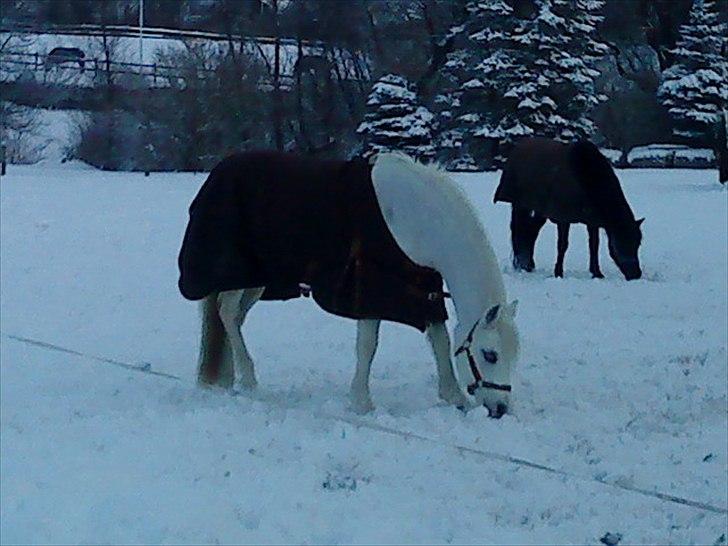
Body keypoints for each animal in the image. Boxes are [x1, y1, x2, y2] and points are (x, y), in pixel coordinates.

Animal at [178, 151, 519, 418]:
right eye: (490, 354)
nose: (500, 409)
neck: (415, 219)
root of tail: (220, 170)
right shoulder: (368, 288)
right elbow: (368, 346)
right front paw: (361, 403)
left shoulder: (424, 290)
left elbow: (440, 340)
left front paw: (453, 396)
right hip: (238, 276)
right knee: (227, 313)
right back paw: (248, 379)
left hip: (258, 281)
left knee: (234, 318)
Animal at [494, 137, 644, 280]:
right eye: (622, 243)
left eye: (638, 244)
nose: (636, 274)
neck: (586, 179)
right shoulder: (563, 218)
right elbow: (562, 245)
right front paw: (558, 272)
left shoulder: (592, 221)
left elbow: (594, 246)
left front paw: (596, 273)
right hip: (520, 204)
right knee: (519, 230)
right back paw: (522, 264)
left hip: (540, 209)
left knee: (531, 231)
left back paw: (528, 264)